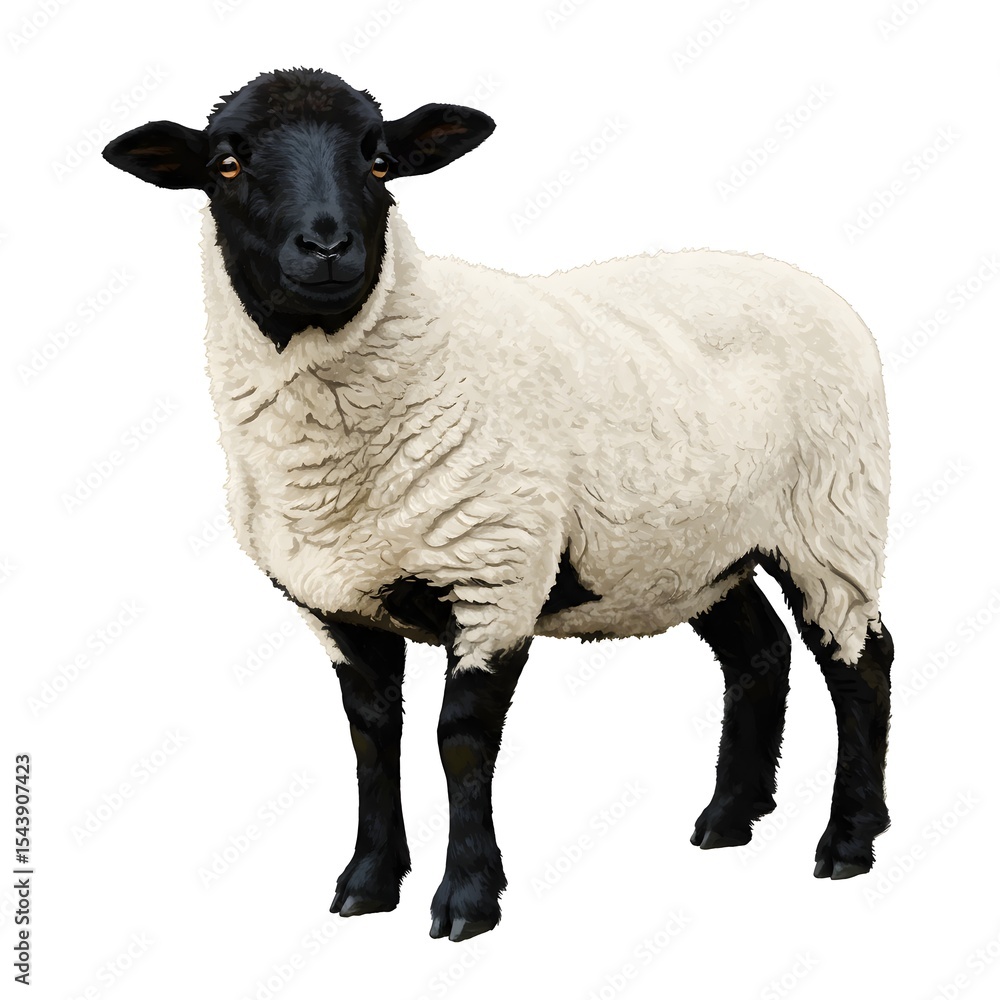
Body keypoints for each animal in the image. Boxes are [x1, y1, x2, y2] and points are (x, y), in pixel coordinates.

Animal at [103, 67, 893, 942]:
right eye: (227, 164)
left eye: (379, 161)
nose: (328, 248)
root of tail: (798, 278)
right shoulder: (337, 606)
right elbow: (371, 738)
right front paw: (367, 882)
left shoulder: (494, 578)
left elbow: (460, 742)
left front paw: (467, 899)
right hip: (697, 547)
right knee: (758, 653)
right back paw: (729, 817)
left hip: (832, 519)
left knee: (860, 663)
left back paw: (849, 839)